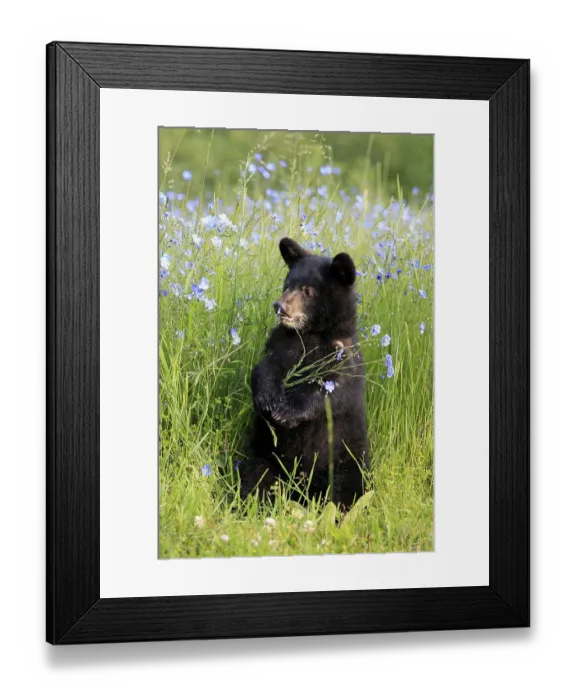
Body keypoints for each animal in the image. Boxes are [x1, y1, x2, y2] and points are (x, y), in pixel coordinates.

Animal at [239, 237, 369, 508]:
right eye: (287, 284)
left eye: (308, 291)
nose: (279, 306)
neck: (312, 334)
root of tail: (302, 492)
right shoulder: (283, 345)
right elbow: (266, 368)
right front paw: (269, 398)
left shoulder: (343, 359)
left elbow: (330, 391)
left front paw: (286, 411)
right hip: (265, 457)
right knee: (255, 477)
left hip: (347, 459)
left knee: (349, 490)